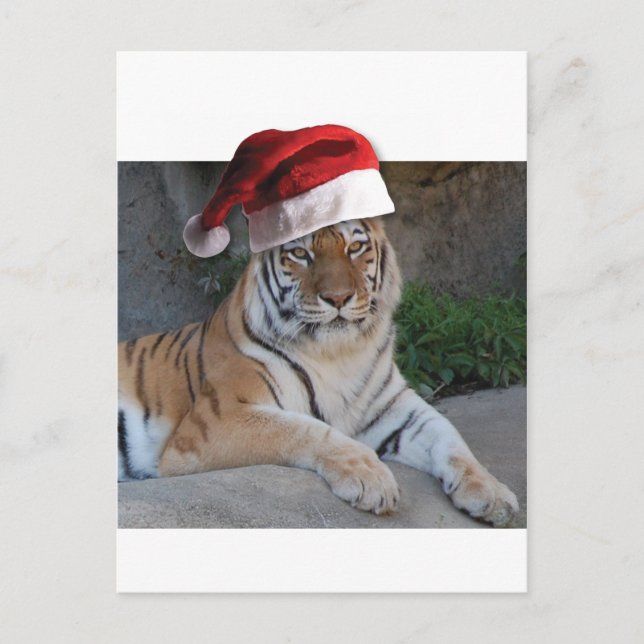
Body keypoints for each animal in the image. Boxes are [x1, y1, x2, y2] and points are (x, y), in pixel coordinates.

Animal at [118, 217, 519, 526]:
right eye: (300, 254)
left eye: (354, 248)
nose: (338, 298)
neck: (338, 353)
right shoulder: (214, 422)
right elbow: (306, 429)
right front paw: (371, 478)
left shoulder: (395, 407)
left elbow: (451, 439)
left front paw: (493, 494)